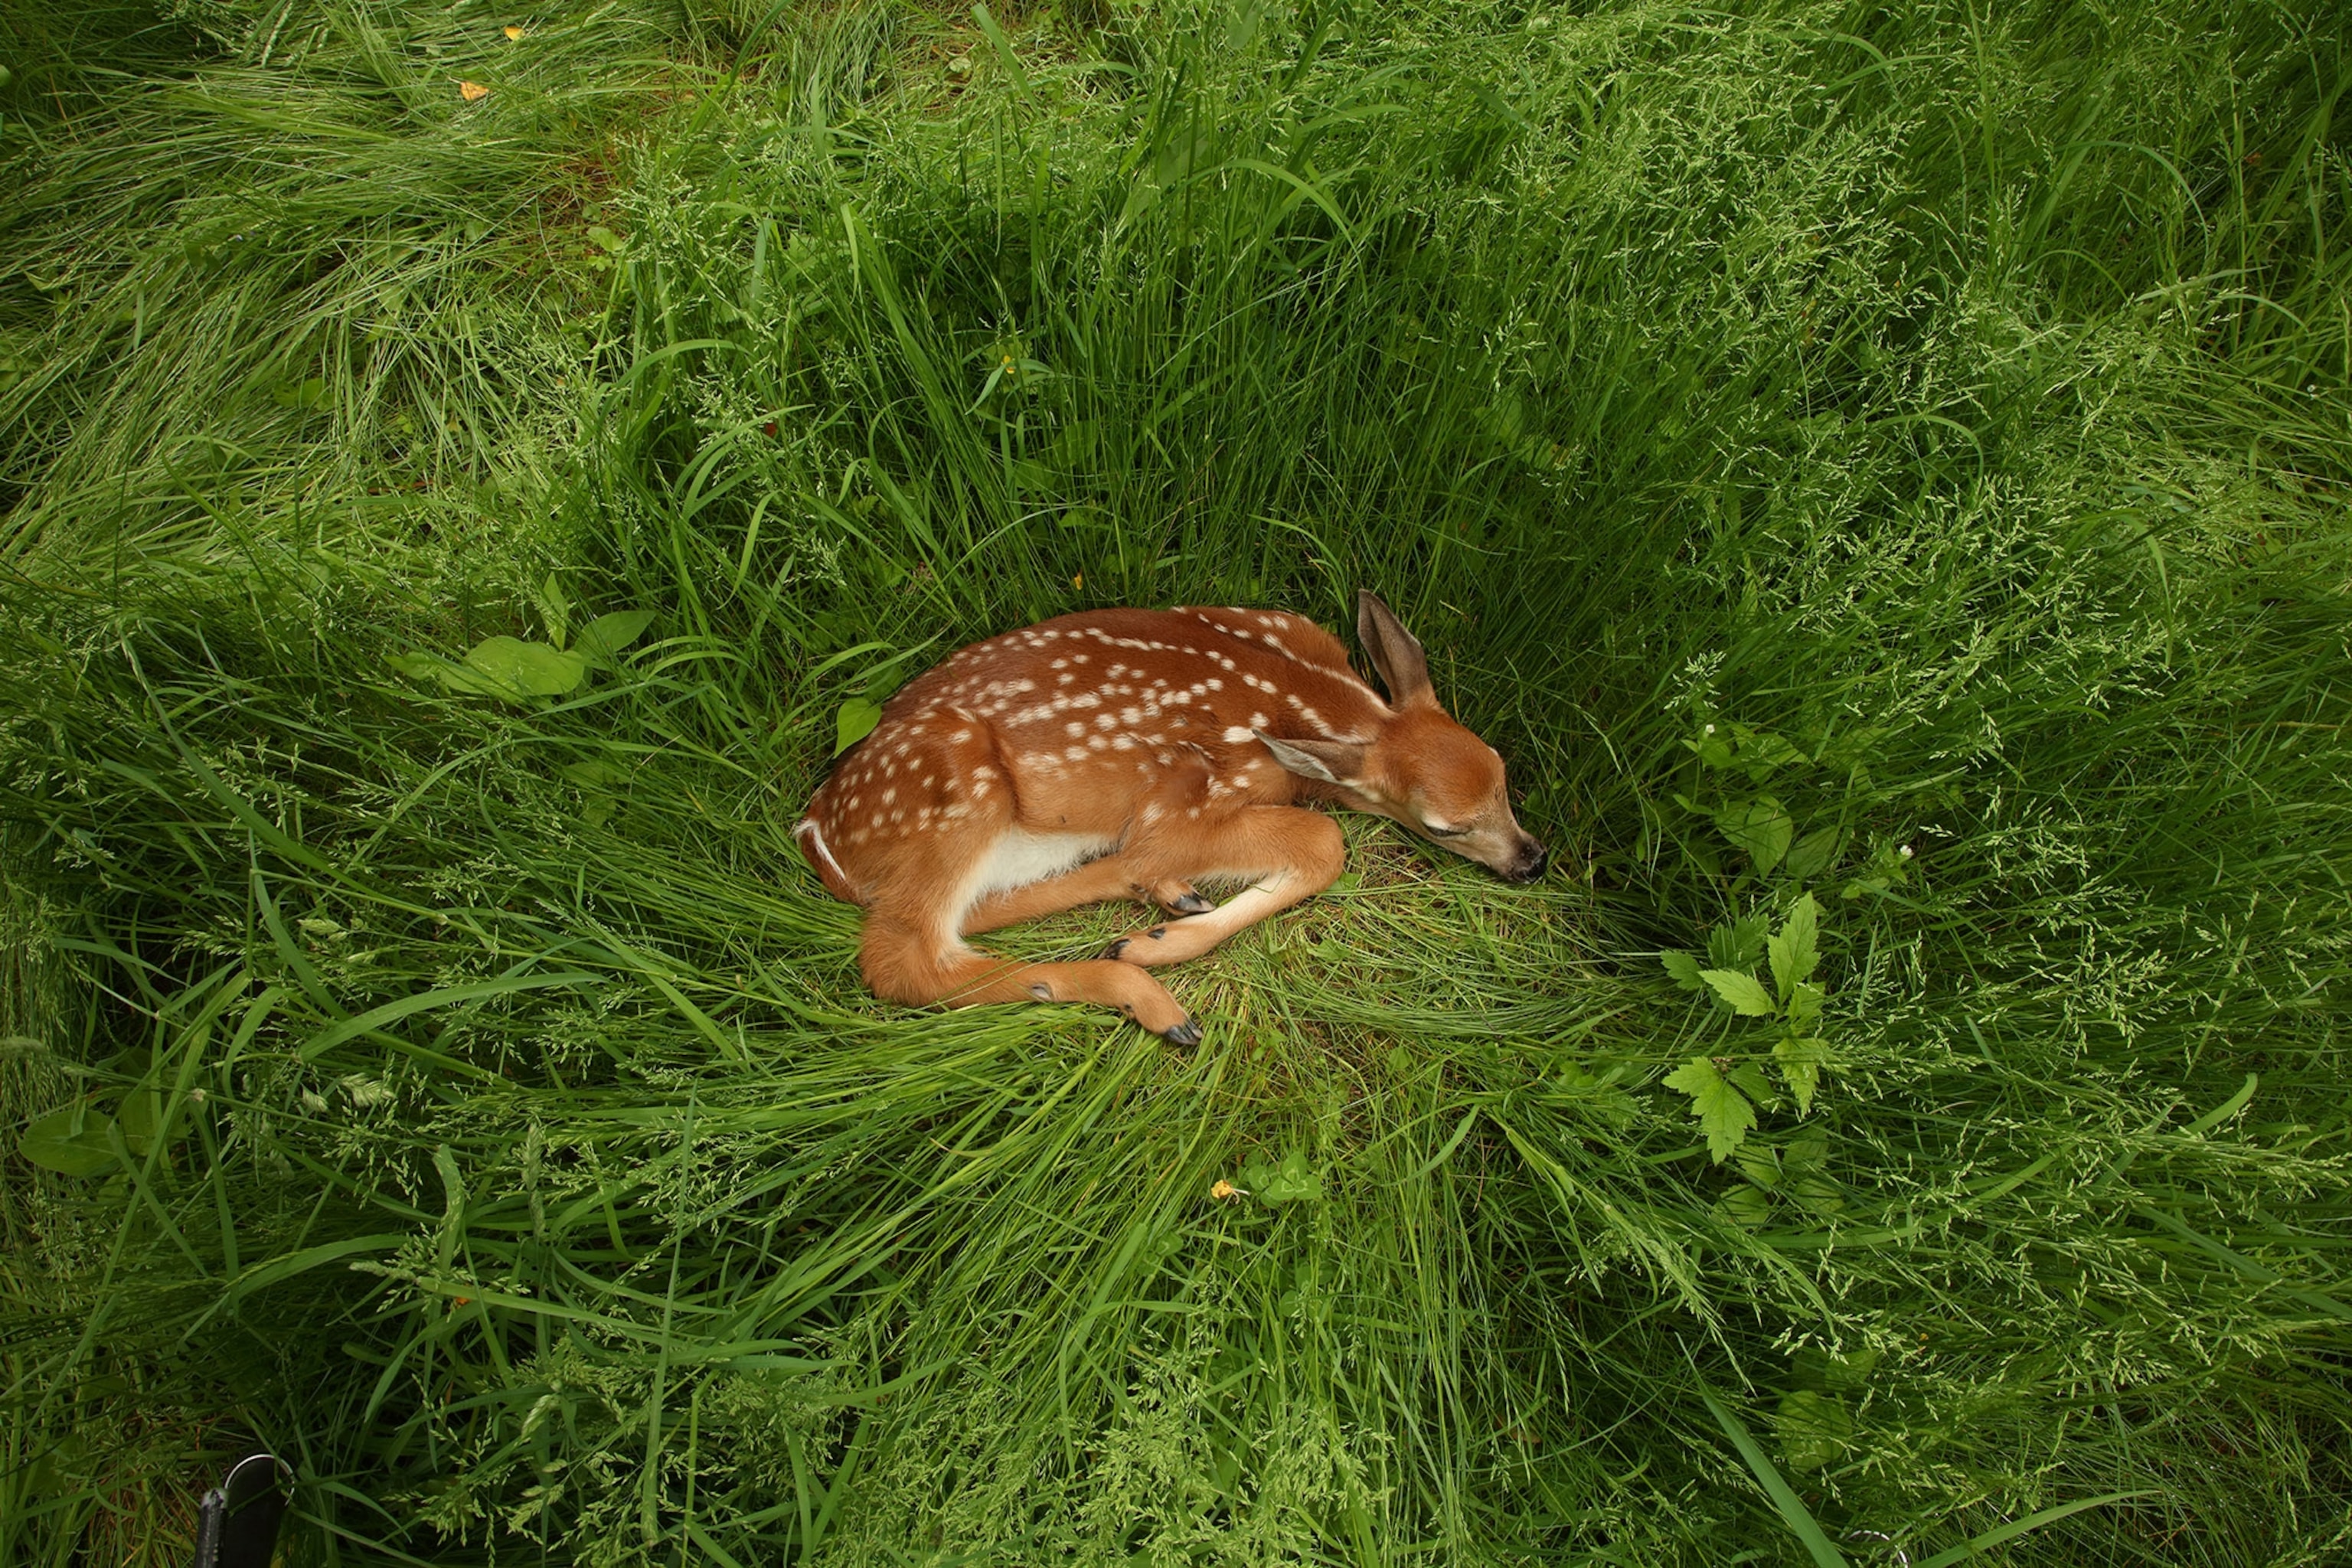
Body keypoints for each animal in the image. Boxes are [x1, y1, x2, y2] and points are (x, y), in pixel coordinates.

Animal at [793, 591, 1547, 1044]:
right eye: (1444, 826)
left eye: (1504, 770)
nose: (1533, 859)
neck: (1311, 696)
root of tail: (816, 833)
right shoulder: (1190, 797)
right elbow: (1325, 839)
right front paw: (1156, 943)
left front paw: (1161, 917)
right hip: (957, 788)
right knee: (903, 960)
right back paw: (1145, 989)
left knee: (976, 914)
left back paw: (1160, 901)